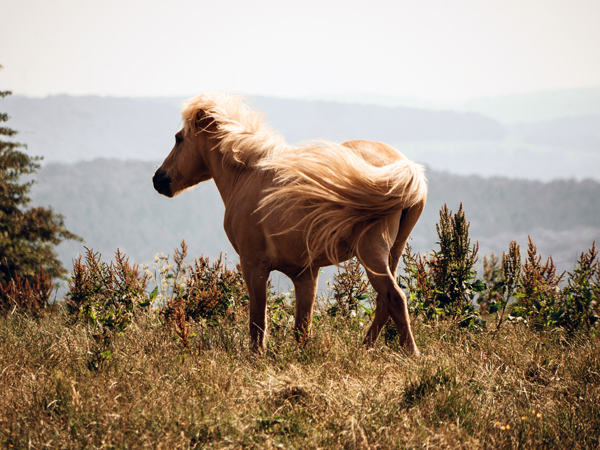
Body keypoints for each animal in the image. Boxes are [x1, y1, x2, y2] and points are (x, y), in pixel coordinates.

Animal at [154, 93, 426, 356]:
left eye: (179, 138)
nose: (159, 179)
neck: (247, 174)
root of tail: (407, 170)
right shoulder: (305, 274)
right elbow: (302, 328)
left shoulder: (253, 265)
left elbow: (258, 320)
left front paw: (257, 357)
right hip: (393, 252)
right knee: (383, 302)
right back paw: (365, 349)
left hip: (371, 252)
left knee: (394, 297)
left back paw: (410, 354)